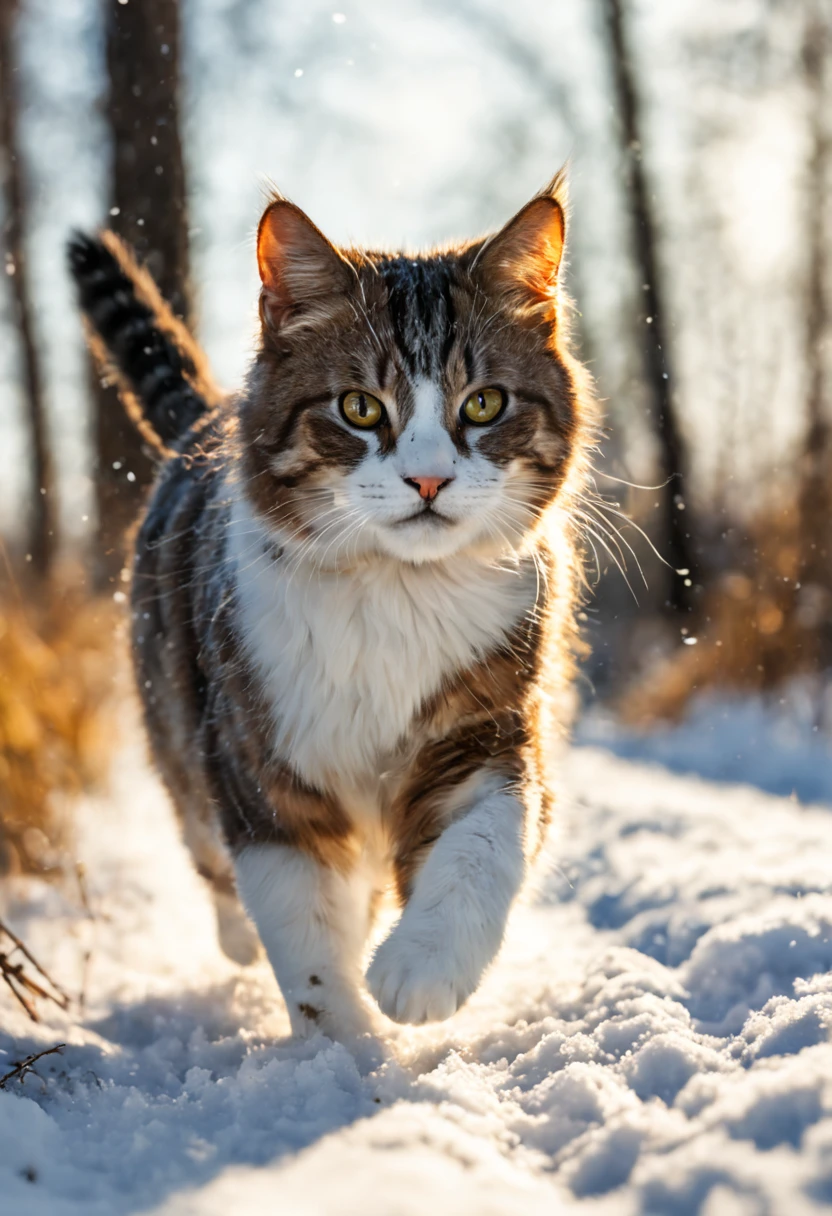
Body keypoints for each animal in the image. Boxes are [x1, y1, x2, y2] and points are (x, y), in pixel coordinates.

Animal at [68, 171, 593, 1040]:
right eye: (360, 408)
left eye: (484, 404)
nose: (428, 479)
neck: (396, 597)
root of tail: (206, 414)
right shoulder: (260, 759)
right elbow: (304, 931)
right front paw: (346, 1051)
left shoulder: (487, 726)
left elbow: (482, 846)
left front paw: (420, 971)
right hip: (180, 720)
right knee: (211, 857)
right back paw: (239, 939)